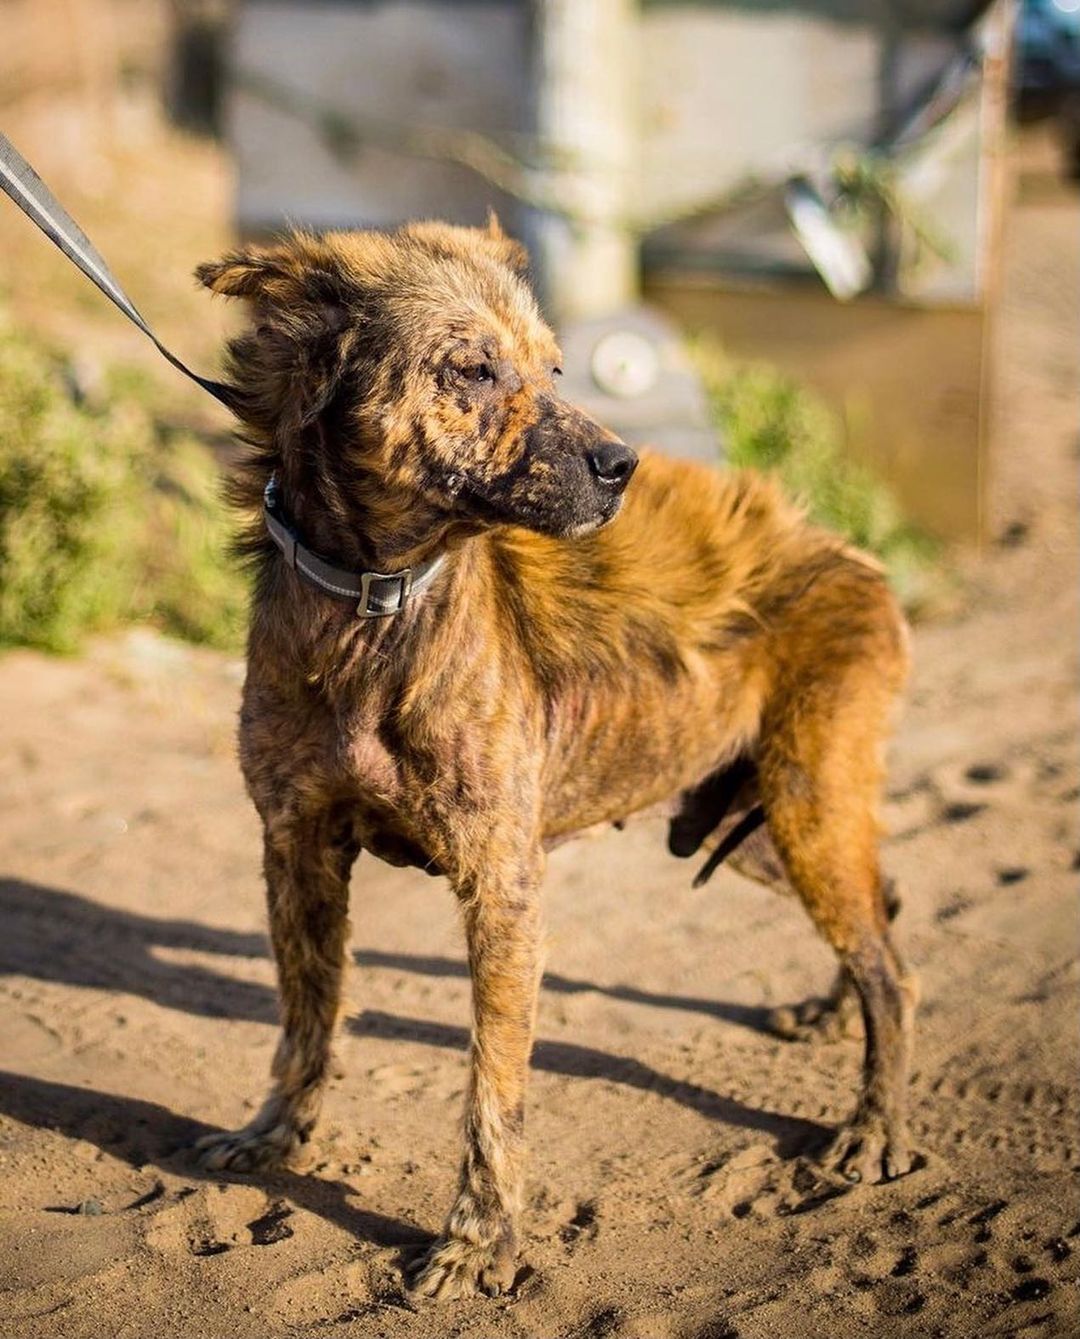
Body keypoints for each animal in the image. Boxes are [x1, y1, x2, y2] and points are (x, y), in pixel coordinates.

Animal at [196, 219, 920, 1296]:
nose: (624, 464)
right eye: (473, 368)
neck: (376, 605)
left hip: (806, 804)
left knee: (893, 967)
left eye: (555, 368)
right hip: (761, 818)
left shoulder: (502, 884)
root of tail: (854, 555)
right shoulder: (297, 848)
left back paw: (874, 1125)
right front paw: (277, 1133)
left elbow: (491, 1090)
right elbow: (305, 1016)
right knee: (885, 912)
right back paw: (837, 1015)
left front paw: (475, 1242)